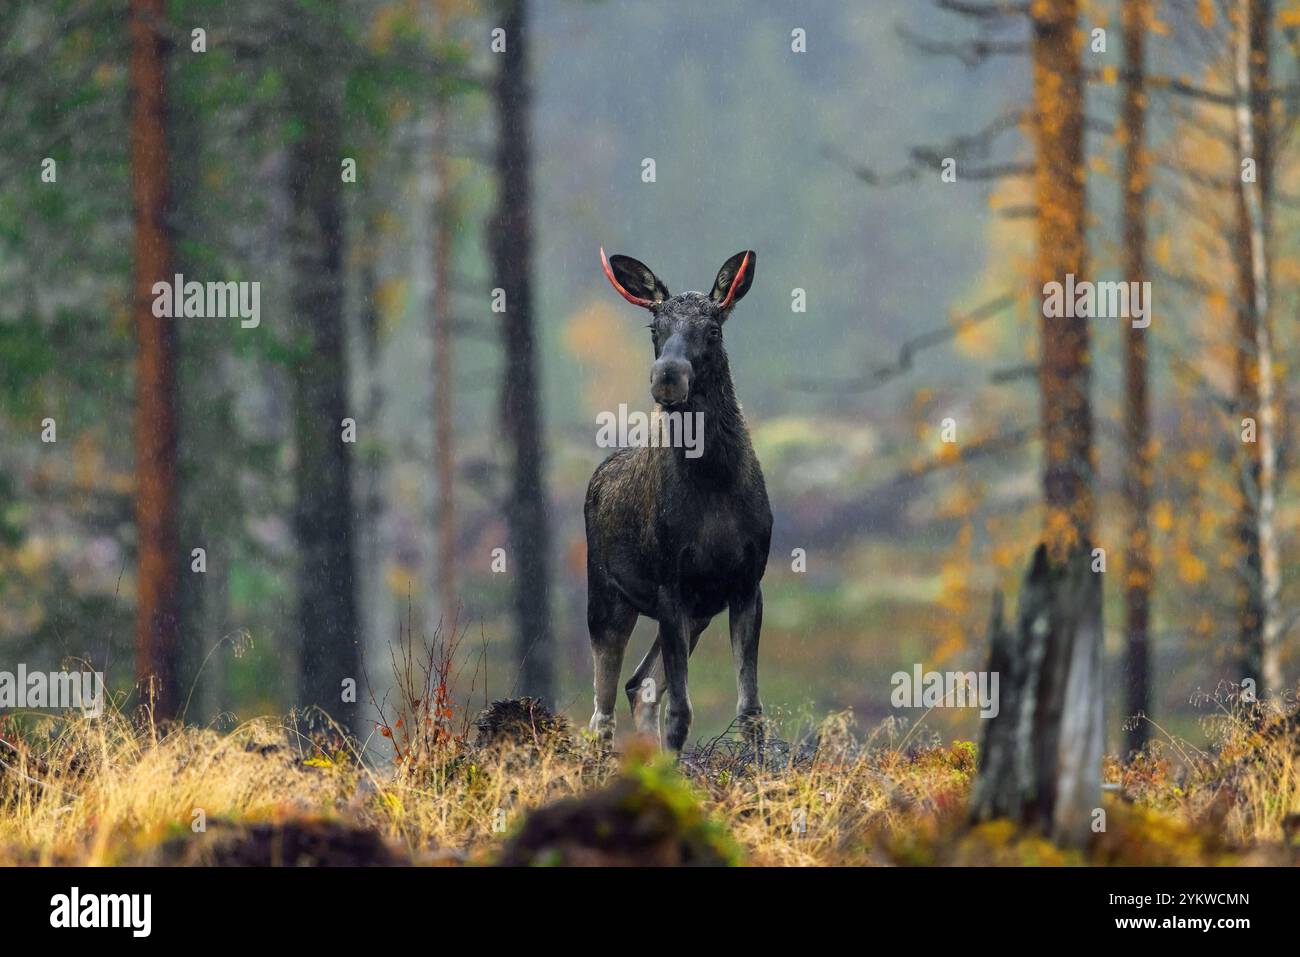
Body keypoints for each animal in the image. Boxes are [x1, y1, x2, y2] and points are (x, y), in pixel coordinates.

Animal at [582, 248, 769, 754]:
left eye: (714, 329)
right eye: (655, 328)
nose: (667, 376)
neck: (715, 483)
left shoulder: (747, 583)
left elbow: (750, 711)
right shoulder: (670, 585)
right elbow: (682, 711)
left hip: (698, 613)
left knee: (639, 686)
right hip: (606, 596)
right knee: (602, 708)